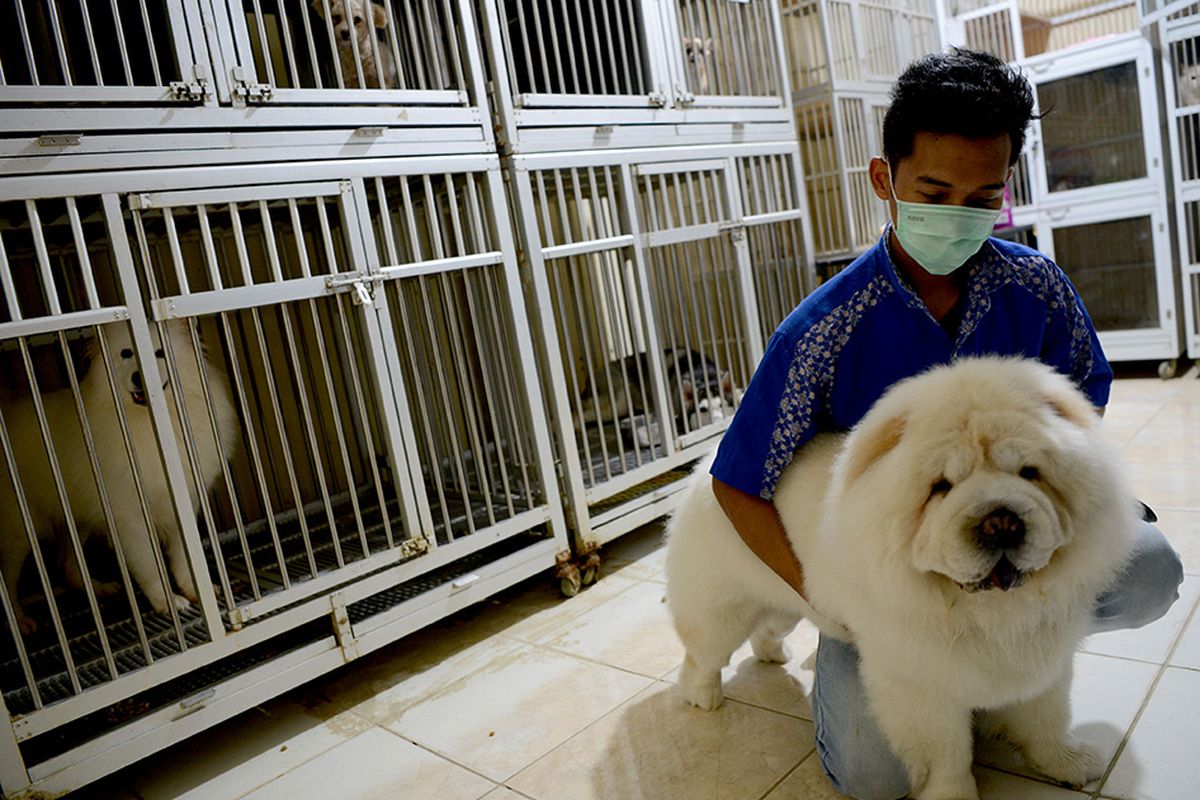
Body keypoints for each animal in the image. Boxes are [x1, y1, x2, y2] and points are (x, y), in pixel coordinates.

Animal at [0, 316, 237, 633]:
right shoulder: (131, 518)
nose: (138, 377)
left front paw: (196, 591)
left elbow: (184, 559)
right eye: (126, 353)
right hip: (19, 532)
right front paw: (167, 602)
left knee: (67, 564)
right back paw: (20, 621)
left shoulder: (180, 505)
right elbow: (149, 565)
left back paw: (99, 588)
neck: (154, 424)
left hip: (76, 521)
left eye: (159, 353)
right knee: (10, 578)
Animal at [672, 359, 1137, 796]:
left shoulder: (1044, 658)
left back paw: (773, 654)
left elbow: (1047, 718)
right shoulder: (921, 684)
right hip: (723, 610)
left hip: (791, 599)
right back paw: (703, 697)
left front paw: (1068, 764)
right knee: (702, 653)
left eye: (1029, 472)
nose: (1000, 522)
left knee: (767, 628)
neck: (991, 611)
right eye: (941, 486)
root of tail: (706, 466)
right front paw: (954, 794)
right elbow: (946, 753)